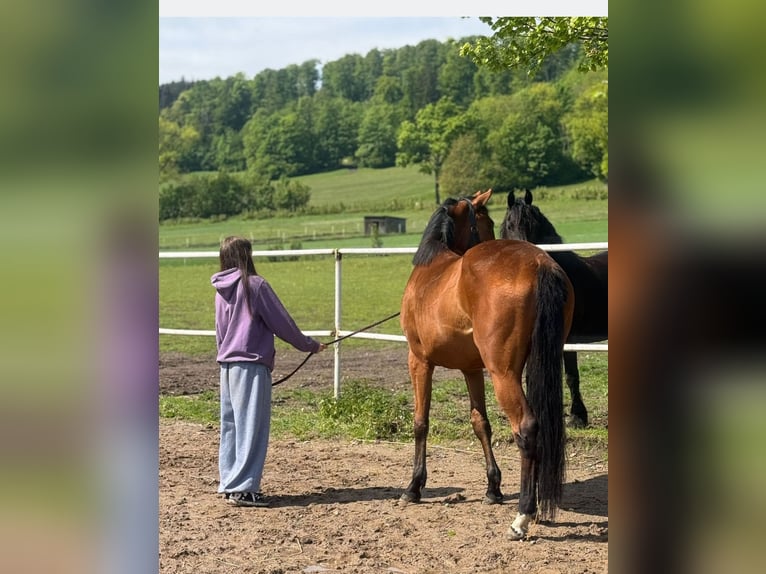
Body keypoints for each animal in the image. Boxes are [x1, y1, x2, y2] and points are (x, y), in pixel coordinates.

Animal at [399, 189, 575, 539]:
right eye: (489, 222)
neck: (433, 268)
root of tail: (539, 263)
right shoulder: (471, 368)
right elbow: (480, 423)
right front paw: (493, 488)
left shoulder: (419, 361)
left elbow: (420, 422)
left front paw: (414, 487)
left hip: (503, 373)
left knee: (527, 428)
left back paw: (522, 516)